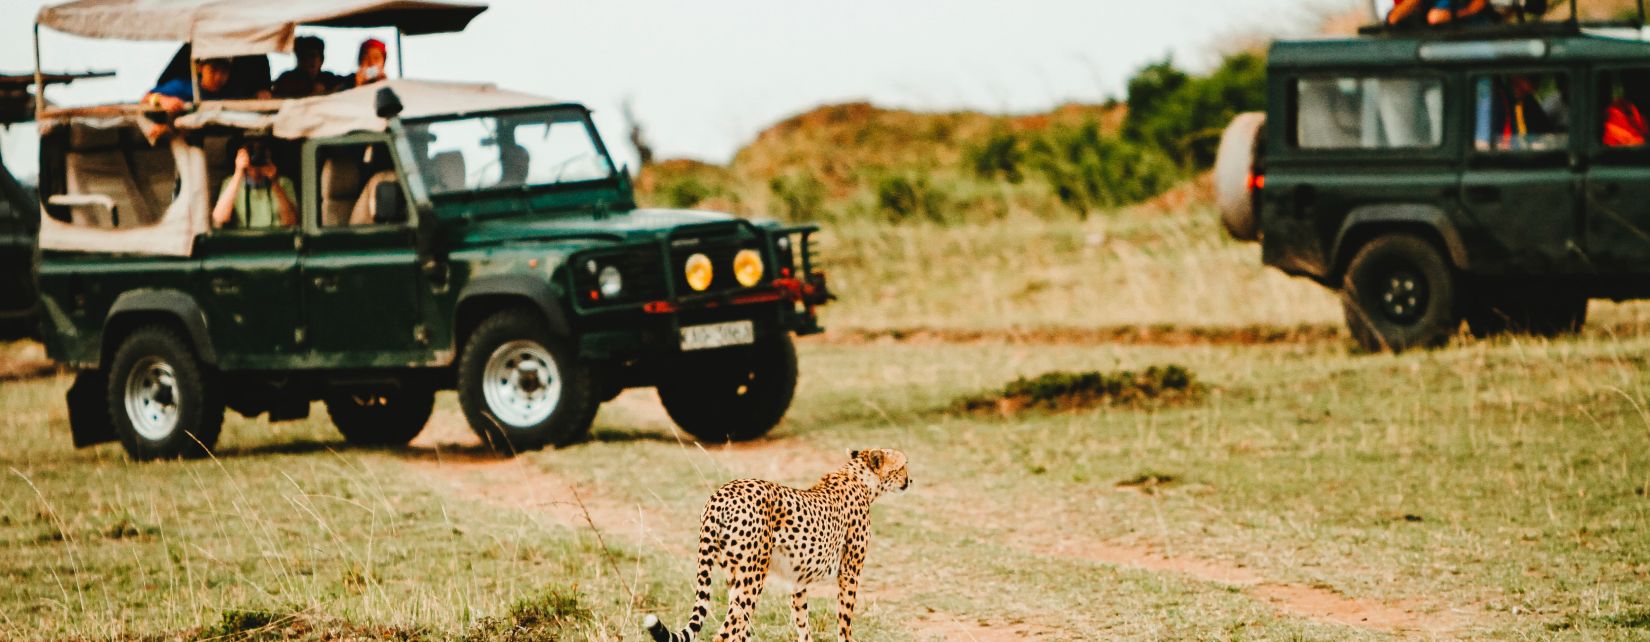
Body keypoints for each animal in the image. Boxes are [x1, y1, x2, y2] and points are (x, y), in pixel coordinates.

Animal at [643, 448, 910, 637]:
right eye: (904, 465)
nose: (910, 480)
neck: (859, 478)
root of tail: (721, 494)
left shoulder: (798, 580)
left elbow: (803, 624)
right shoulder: (850, 572)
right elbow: (845, 623)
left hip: (734, 576)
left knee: (739, 628)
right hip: (753, 576)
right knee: (726, 633)